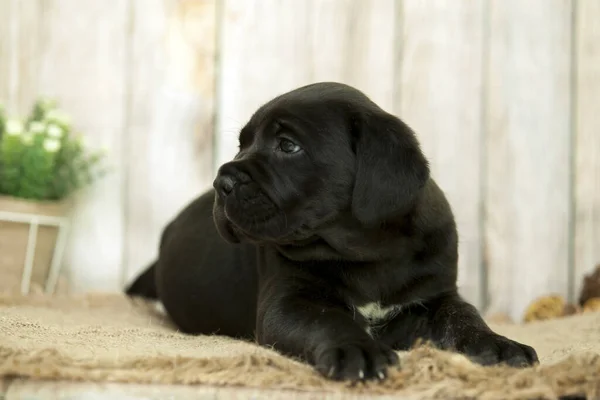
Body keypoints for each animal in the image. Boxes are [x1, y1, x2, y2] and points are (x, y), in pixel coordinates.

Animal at [127, 81, 540, 382]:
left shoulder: (435, 296)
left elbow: (464, 315)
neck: (369, 253)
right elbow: (328, 319)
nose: (221, 181)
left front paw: (498, 345)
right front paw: (358, 351)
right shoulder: (290, 301)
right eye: (242, 144)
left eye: (288, 145)